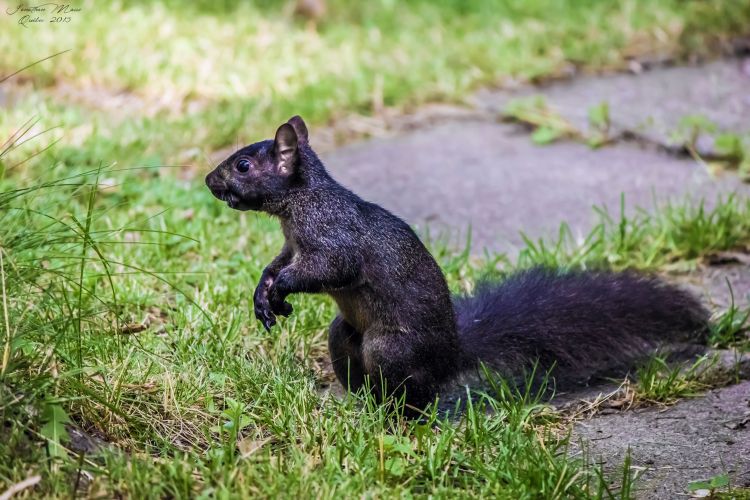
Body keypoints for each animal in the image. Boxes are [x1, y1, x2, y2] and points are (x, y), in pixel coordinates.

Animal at [206, 116, 712, 414]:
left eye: (244, 165)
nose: (210, 180)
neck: (298, 204)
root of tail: (452, 356)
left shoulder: (333, 237)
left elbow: (328, 269)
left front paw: (282, 289)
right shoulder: (291, 244)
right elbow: (277, 264)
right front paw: (263, 293)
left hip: (391, 350)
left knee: (416, 397)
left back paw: (392, 417)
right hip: (343, 337)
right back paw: (357, 407)